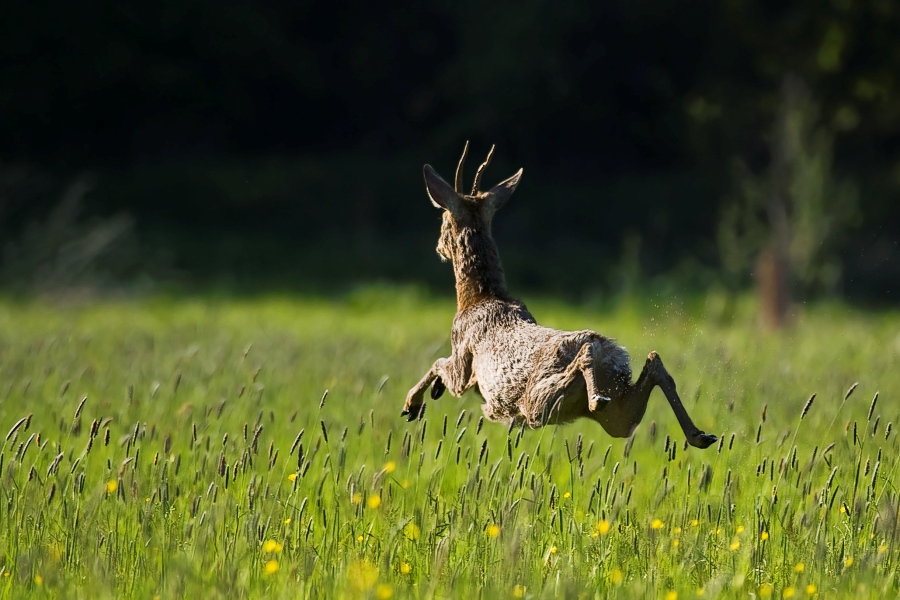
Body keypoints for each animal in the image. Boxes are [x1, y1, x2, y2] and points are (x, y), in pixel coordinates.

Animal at [401, 143, 718, 449]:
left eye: (444, 220)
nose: (439, 246)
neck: (480, 297)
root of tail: (610, 353)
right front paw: (426, 396)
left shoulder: (462, 362)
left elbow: (438, 364)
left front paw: (412, 404)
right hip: (618, 414)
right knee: (652, 367)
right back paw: (700, 435)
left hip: (536, 401)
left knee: (584, 362)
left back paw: (598, 393)